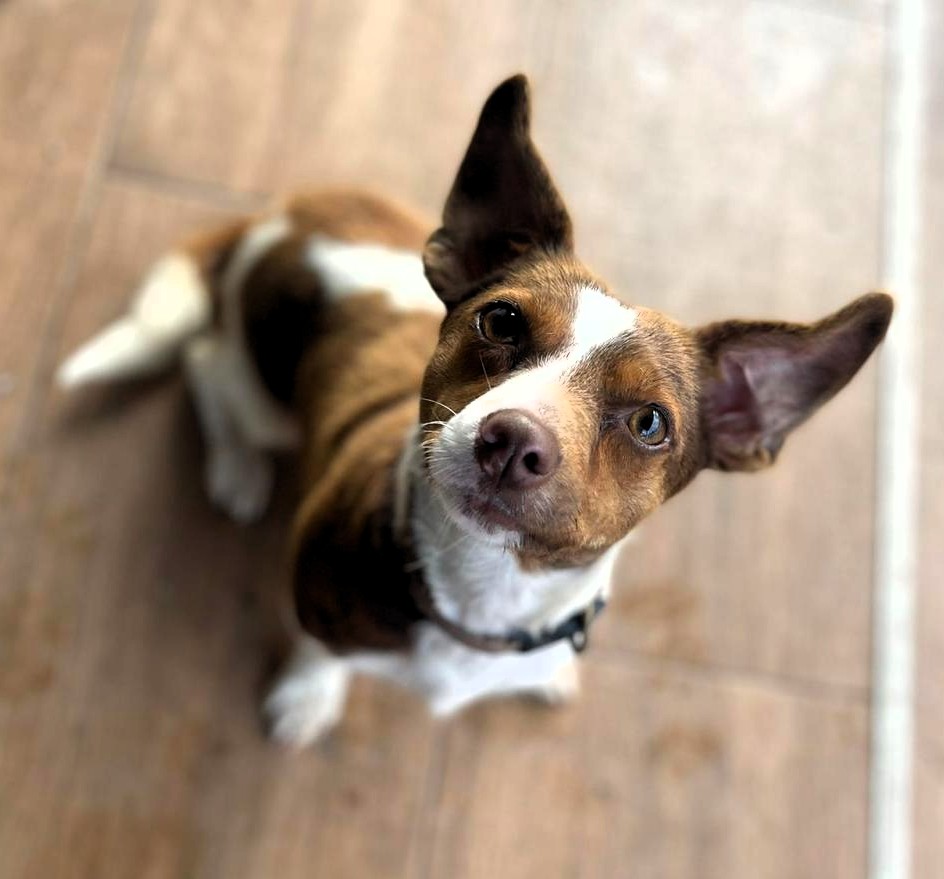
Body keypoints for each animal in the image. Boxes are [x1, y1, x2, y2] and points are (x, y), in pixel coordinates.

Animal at [58, 75, 893, 746]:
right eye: (501, 321)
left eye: (650, 423)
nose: (513, 442)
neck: (485, 593)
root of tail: (286, 214)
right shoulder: (317, 602)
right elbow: (319, 649)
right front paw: (308, 695)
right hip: (265, 391)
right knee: (207, 364)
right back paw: (237, 469)